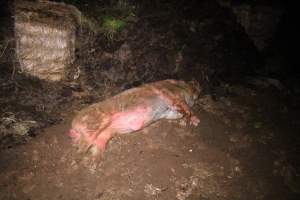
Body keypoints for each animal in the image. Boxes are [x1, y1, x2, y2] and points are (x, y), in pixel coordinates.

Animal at [69, 79, 200, 159]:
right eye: (192, 86)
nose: (199, 89)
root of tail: (73, 125)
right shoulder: (170, 95)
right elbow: (184, 106)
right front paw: (192, 121)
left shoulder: (168, 112)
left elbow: (178, 113)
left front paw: (188, 121)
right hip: (95, 125)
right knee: (80, 149)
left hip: (103, 137)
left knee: (94, 148)